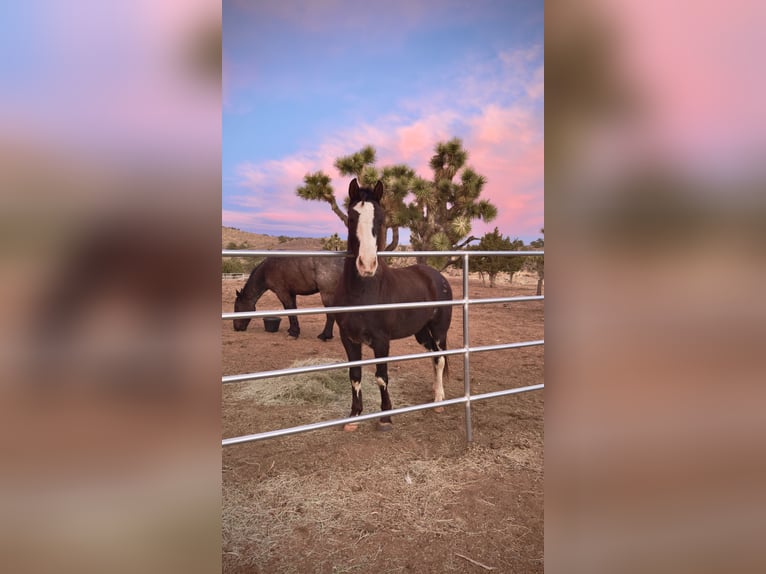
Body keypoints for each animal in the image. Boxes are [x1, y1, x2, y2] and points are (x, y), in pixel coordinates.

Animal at [333, 178, 453, 431]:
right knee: (433, 356)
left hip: (439, 330)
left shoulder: (381, 341)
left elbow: (381, 376)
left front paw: (386, 418)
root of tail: (437, 276)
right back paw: (435, 392)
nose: (367, 265)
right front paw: (353, 417)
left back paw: (439, 400)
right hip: (421, 333)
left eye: (380, 220)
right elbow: (355, 375)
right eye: (351, 217)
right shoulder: (348, 339)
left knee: (440, 359)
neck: (363, 292)